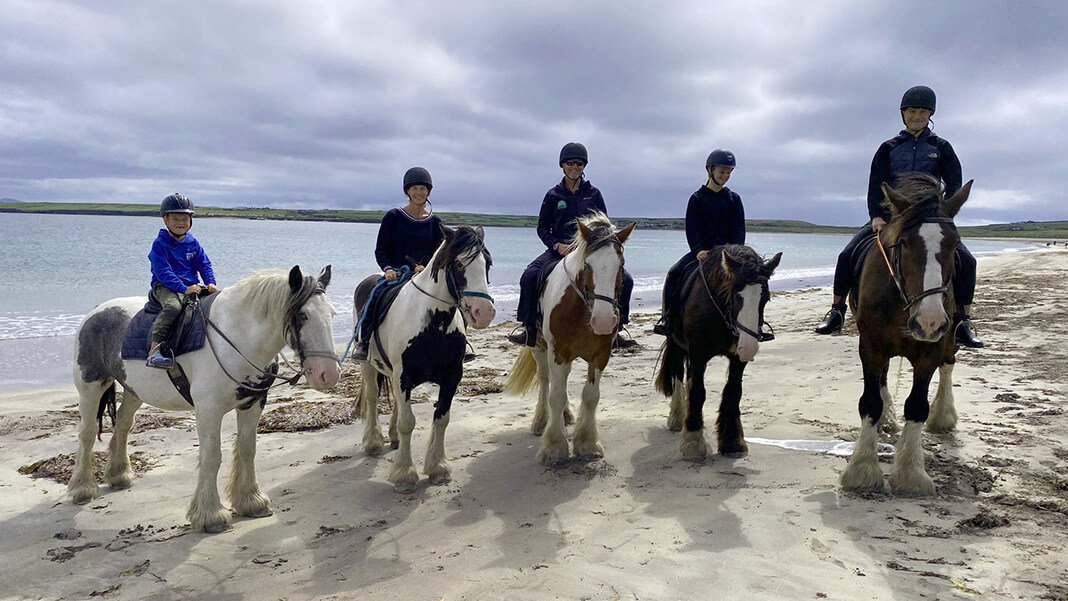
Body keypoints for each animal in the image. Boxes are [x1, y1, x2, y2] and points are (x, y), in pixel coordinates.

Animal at [69, 265, 337, 533]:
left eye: (332, 314)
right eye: (303, 316)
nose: (328, 374)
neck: (236, 337)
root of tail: (95, 313)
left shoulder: (253, 403)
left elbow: (247, 449)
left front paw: (251, 502)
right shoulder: (208, 409)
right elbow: (211, 457)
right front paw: (211, 515)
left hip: (134, 391)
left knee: (123, 424)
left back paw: (119, 475)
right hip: (90, 387)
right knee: (87, 434)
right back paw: (83, 487)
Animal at [354, 226, 495, 493]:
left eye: (488, 264)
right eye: (459, 264)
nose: (484, 313)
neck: (433, 324)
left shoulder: (451, 377)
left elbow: (441, 419)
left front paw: (438, 468)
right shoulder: (404, 376)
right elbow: (408, 422)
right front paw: (404, 475)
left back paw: (392, 438)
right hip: (369, 366)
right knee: (372, 398)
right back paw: (373, 442)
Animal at [501, 211, 632, 465]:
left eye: (620, 265)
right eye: (587, 264)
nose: (603, 321)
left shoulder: (601, 355)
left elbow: (591, 396)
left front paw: (587, 443)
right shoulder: (558, 352)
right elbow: (556, 394)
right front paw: (554, 446)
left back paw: (567, 415)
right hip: (540, 349)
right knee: (545, 381)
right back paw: (541, 421)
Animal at [649, 243, 786, 461]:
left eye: (765, 298)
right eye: (736, 296)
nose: (750, 347)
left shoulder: (738, 358)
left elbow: (733, 391)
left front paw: (732, 441)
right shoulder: (698, 355)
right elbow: (698, 391)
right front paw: (693, 442)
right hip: (676, 344)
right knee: (678, 374)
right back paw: (678, 418)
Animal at [841, 172, 978, 493]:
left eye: (955, 244)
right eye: (904, 243)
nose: (929, 321)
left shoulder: (929, 351)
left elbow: (917, 406)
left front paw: (910, 474)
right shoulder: (871, 346)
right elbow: (870, 401)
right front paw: (862, 470)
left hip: (950, 339)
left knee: (948, 366)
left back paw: (944, 415)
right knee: (883, 378)